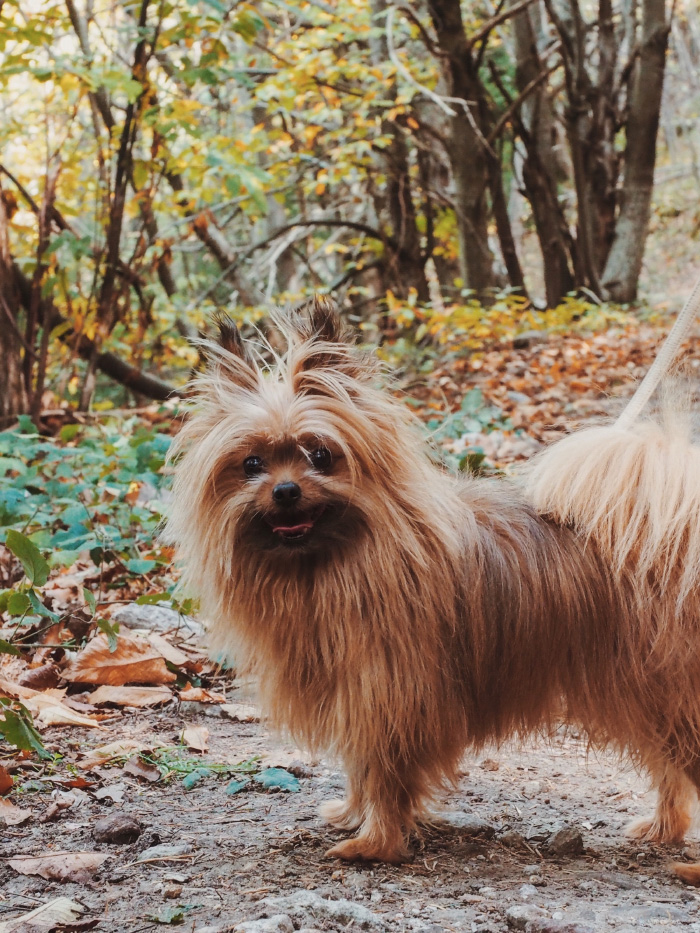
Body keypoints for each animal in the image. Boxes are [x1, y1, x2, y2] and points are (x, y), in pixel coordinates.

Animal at [165, 298, 700, 880]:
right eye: (251, 464)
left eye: (321, 455)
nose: (285, 490)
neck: (332, 563)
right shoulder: (360, 694)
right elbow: (361, 768)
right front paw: (353, 816)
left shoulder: (390, 695)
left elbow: (383, 774)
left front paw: (375, 842)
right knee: (669, 767)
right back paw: (664, 829)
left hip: (660, 691)